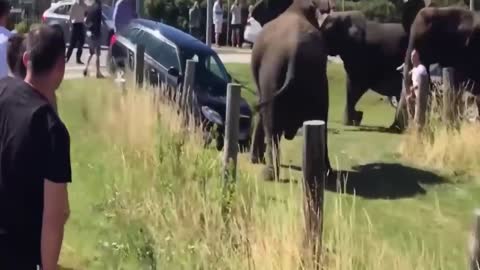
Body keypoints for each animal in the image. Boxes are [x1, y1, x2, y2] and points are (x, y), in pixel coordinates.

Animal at [249, 0, 332, 180]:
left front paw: (254, 160)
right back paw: (327, 173)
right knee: (322, 121)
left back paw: (269, 174)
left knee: (271, 124)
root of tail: (294, 52)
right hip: (315, 77)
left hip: (271, 73)